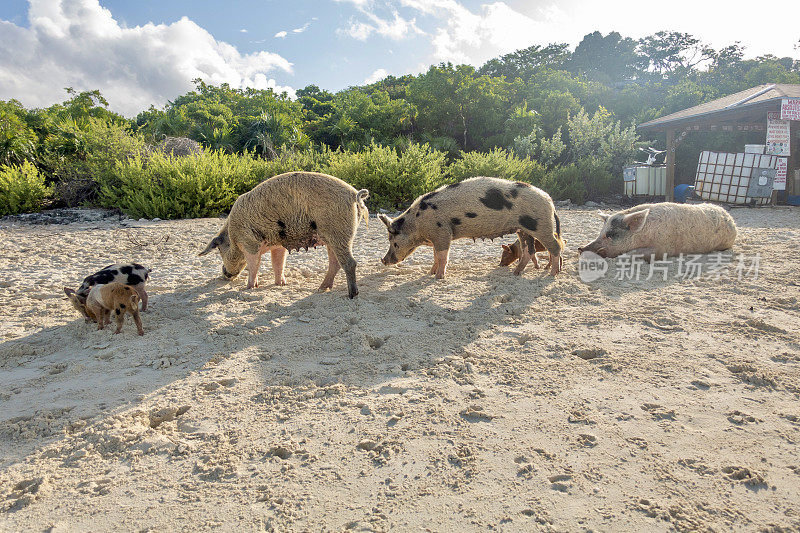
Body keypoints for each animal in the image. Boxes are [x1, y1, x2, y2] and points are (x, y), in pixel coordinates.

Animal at [200, 170, 368, 298]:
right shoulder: (278, 244)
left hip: (338, 232)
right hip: (332, 236)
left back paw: (351, 295)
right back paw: (321, 289)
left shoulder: (249, 243)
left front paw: (248, 288)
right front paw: (280, 284)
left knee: (350, 263)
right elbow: (278, 263)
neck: (233, 235)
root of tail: (353, 194)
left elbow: (254, 265)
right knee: (335, 263)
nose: (224, 274)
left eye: (220, 249)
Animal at [380, 178, 564, 278]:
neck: (417, 222)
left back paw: (553, 273)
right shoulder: (436, 237)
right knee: (528, 250)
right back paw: (516, 273)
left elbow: (442, 256)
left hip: (540, 226)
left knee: (555, 247)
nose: (383, 260)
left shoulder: (442, 232)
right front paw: (430, 273)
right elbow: (435, 256)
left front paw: (438, 277)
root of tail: (550, 201)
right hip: (523, 230)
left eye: (393, 241)